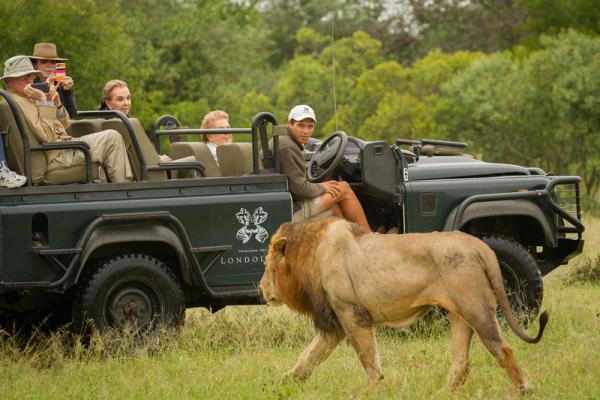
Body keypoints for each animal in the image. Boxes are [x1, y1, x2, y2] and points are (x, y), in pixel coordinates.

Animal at [258, 217, 548, 392]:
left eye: (267, 266)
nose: (261, 289)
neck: (311, 252)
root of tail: (481, 247)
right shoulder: (335, 323)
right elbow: (307, 357)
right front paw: (281, 384)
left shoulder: (352, 314)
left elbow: (369, 360)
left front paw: (374, 390)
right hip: (460, 313)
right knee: (461, 362)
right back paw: (442, 393)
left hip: (477, 308)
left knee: (503, 350)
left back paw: (525, 390)